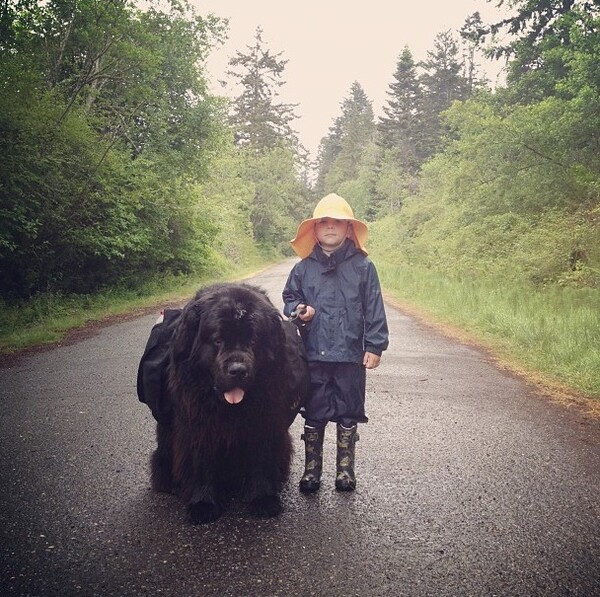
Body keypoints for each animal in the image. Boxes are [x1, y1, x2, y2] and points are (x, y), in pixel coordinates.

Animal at [145, 282, 304, 520]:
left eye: (253, 340)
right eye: (218, 340)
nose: (238, 370)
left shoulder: (264, 419)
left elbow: (261, 458)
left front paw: (263, 499)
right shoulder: (198, 423)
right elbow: (201, 462)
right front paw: (203, 504)